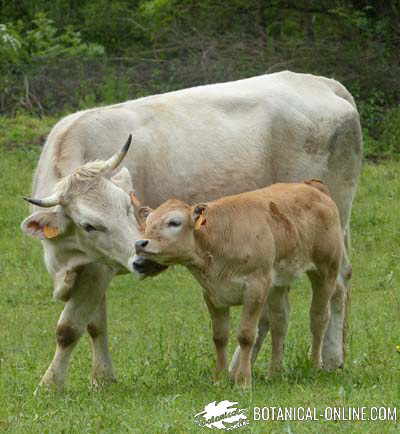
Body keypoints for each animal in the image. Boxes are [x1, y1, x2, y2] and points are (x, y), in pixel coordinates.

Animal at [21, 71, 362, 390]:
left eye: (127, 206)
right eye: (88, 225)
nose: (139, 258)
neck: (66, 259)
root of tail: (321, 82)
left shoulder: (97, 270)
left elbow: (69, 328)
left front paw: (50, 385)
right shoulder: (95, 264)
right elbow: (95, 325)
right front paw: (102, 380)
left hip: (330, 232)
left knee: (334, 289)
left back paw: (329, 358)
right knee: (277, 309)